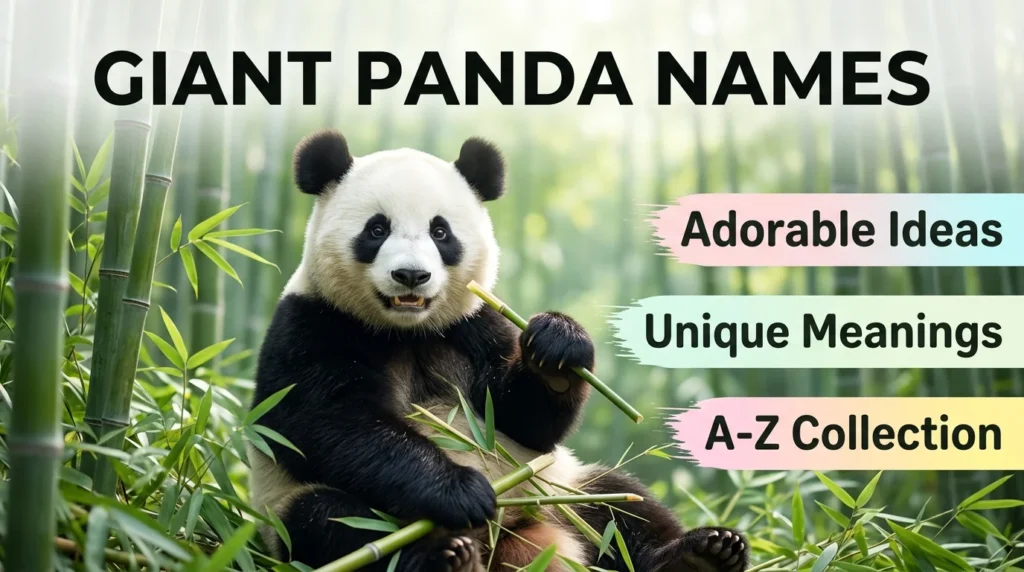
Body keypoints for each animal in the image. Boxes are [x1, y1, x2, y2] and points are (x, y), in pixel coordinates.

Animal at [248, 129, 749, 572]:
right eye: (376, 229)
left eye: (440, 232)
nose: (411, 276)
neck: (408, 332)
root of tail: (509, 537)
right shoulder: (313, 323)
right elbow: (328, 419)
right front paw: (460, 490)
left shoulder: (474, 326)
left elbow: (522, 419)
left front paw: (558, 345)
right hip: (292, 512)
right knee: (335, 523)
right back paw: (447, 557)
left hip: (561, 488)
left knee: (620, 504)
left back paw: (700, 554)